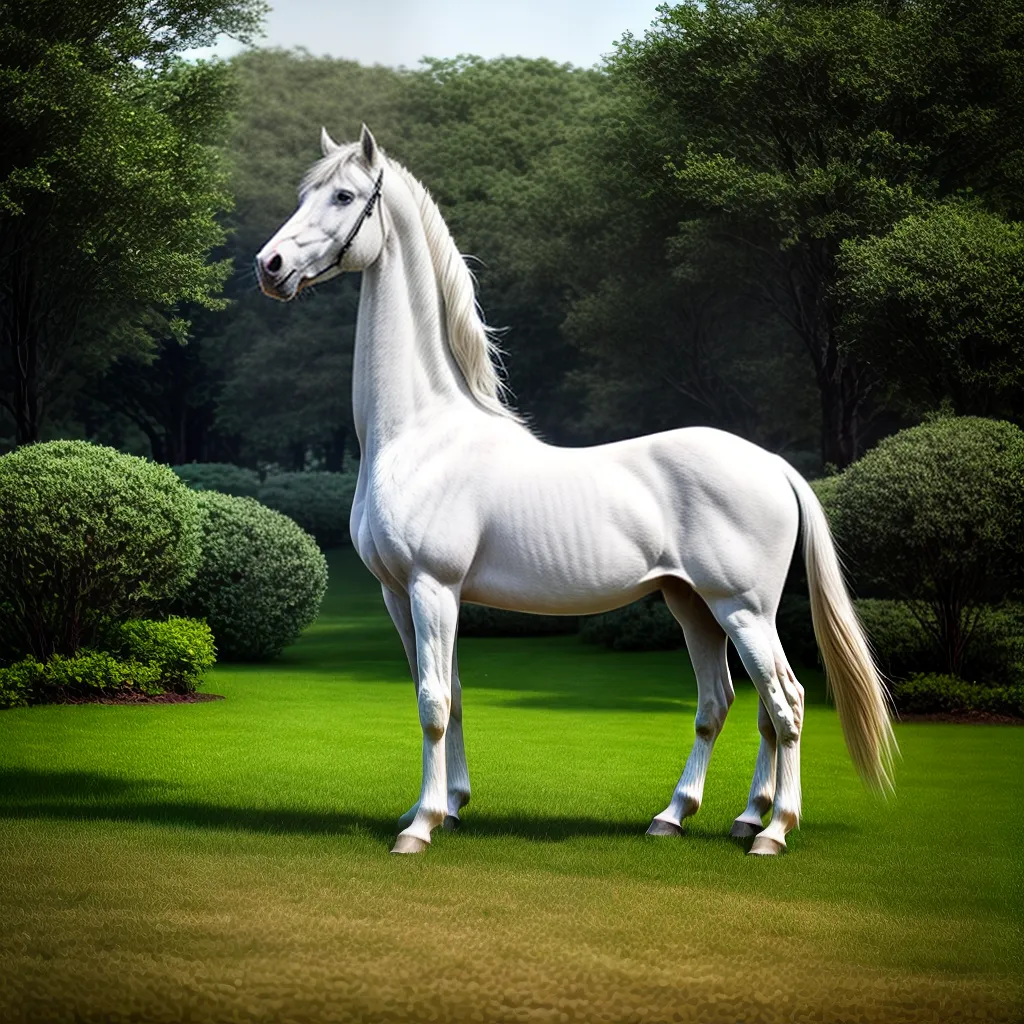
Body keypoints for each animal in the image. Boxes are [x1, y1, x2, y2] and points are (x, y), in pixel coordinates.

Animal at [256, 125, 896, 856]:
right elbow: (451, 692)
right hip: (695, 606)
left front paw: (420, 827)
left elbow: (433, 702)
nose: (270, 265)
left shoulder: (431, 586)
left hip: (744, 609)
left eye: (343, 195)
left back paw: (774, 831)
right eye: (304, 193)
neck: (421, 432)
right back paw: (693, 816)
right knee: (727, 703)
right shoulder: (399, 593)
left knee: (786, 703)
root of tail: (772, 464)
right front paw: (448, 805)